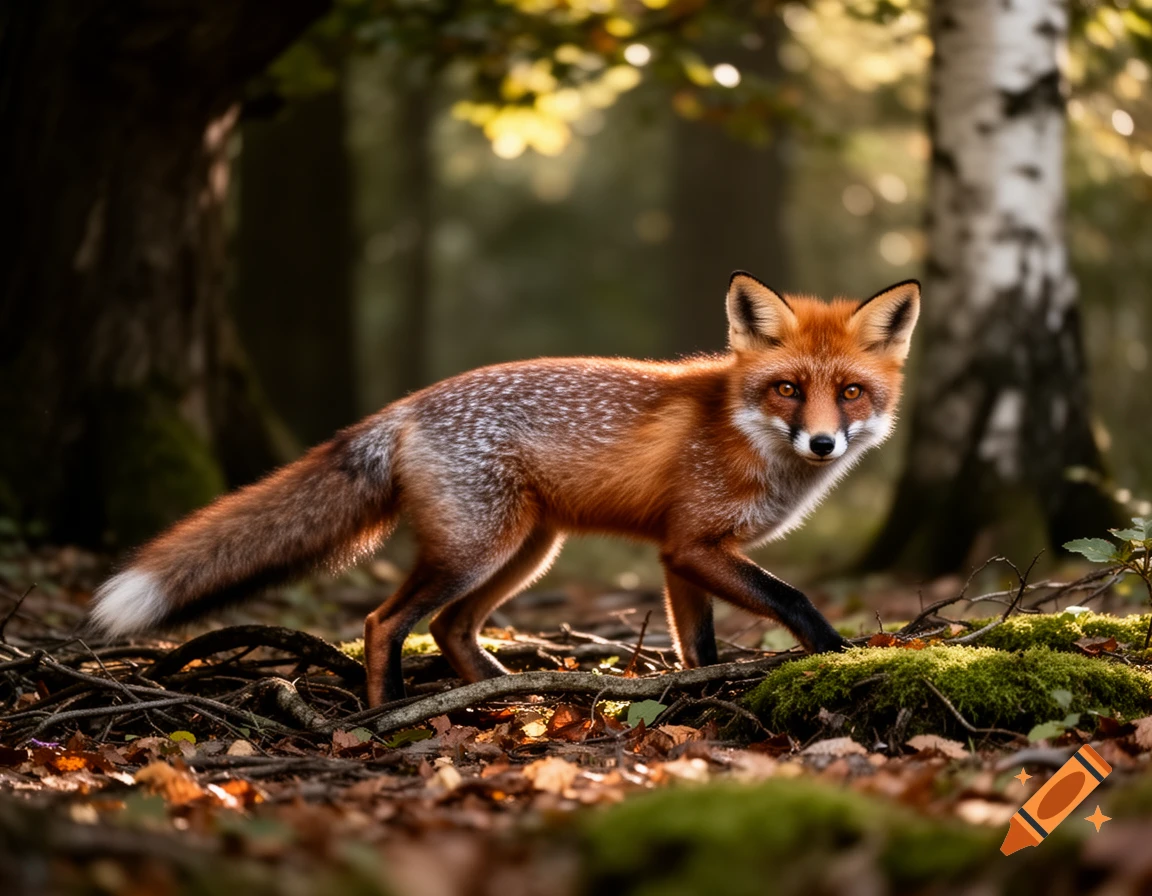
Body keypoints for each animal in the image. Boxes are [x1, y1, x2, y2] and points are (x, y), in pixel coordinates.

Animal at [90, 272, 920, 706]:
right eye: (787, 389)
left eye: (850, 393)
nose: (822, 442)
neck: (742, 430)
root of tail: (405, 406)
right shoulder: (693, 544)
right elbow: (792, 597)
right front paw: (843, 657)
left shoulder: (680, 554)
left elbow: (700, 647)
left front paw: (700, 693)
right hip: (478, 550)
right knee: (384, 623)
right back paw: (387, 717)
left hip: (527, 550)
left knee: (451, 628)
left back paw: (509, 695)